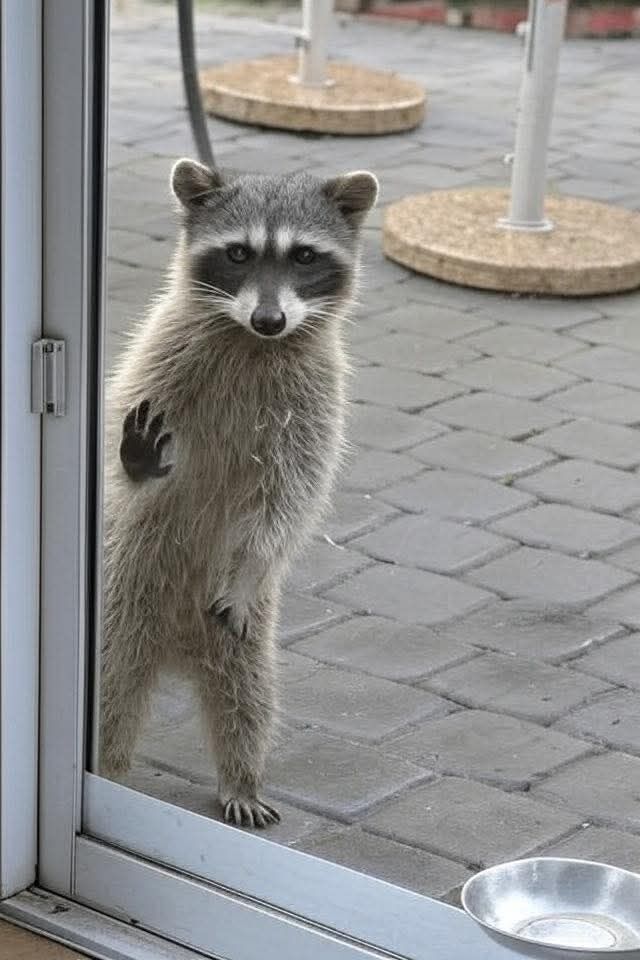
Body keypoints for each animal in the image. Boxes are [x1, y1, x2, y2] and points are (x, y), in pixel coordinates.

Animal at [101, 159, 378, 828]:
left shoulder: (315, 400)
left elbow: (291, 497)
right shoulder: (159, 357)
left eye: (304, 255)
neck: (251, 340)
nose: (269, 319)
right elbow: (119, 459)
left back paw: (241, 777)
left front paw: (256, 559)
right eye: (237, 253)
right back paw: (108, 764)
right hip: (123, 596)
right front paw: (137, 465)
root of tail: (176, 650)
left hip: (245, 639)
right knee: (112, 688)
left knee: (248, 702)